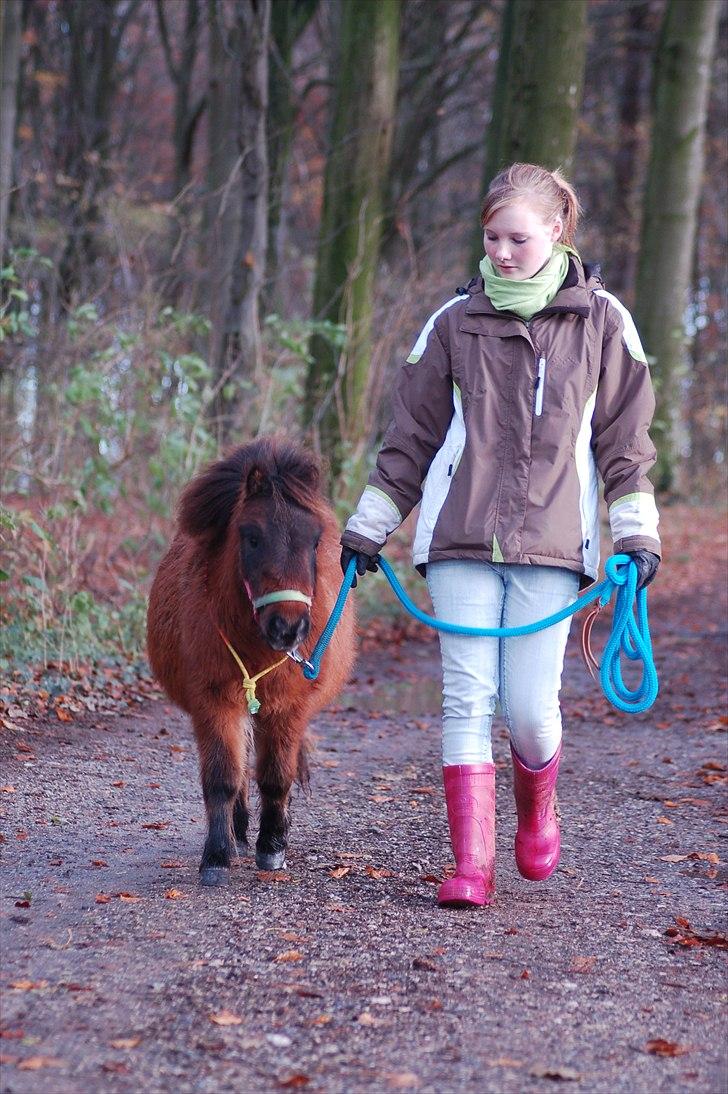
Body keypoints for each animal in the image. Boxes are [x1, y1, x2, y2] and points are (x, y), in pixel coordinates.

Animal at [145, 433, 354, 879]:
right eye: (252, 536)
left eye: (314, 540)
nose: (288, 628)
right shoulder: (214, 703)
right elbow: (223, 778)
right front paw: (218, 855)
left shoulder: (288, 709)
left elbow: (277, 778)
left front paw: (272, 846)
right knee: (239, 768)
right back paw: (239, 832)